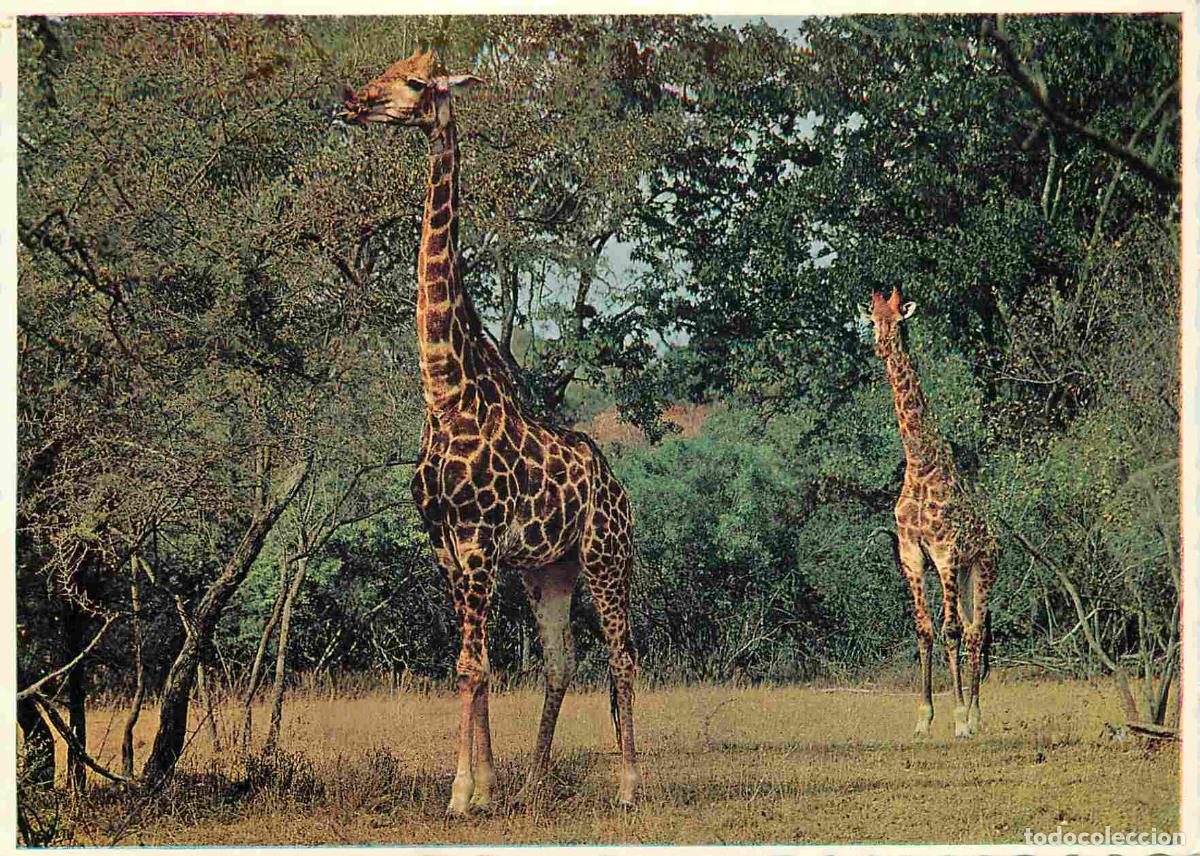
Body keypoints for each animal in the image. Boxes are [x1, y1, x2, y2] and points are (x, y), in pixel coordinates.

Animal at [340, 48, 641, 814]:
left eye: (416, 83)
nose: (354, 102)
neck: (445, 394)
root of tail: (618, 486)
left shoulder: (476, 543)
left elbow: (473, 668)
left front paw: (460, 793)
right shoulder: (448, 548)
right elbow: (469, 667)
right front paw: (489, 787)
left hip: (606, 556)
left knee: (622, 655)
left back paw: (630, 785)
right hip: (549, 570)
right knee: (561, 663)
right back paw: (536, 779)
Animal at [862, 287, 997, 738]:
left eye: (899, 320)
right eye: (873, 320)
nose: (882, 346)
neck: (920, 465)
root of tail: (995, 536)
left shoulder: (946, 552)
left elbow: (950, 631)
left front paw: (958, 719)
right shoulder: (912, 554)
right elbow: (923, 631)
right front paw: (923, 719)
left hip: (983, 567)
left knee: (973, 634)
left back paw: (975, 716)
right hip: (965, 573)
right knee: (971, 631)